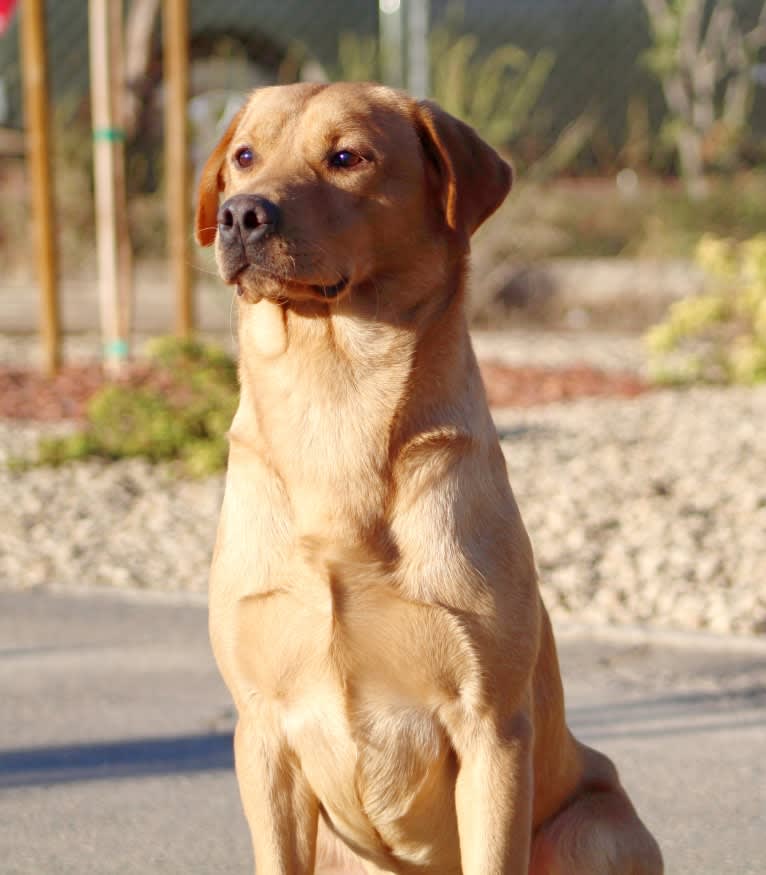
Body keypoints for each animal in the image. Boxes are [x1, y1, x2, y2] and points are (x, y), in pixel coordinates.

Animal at [198, 78, 664, 872]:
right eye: (245, 157)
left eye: (347, 157)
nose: (240, 213)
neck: (334, 409)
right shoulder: (260, 732)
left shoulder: (492, 729)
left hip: (593, 828)